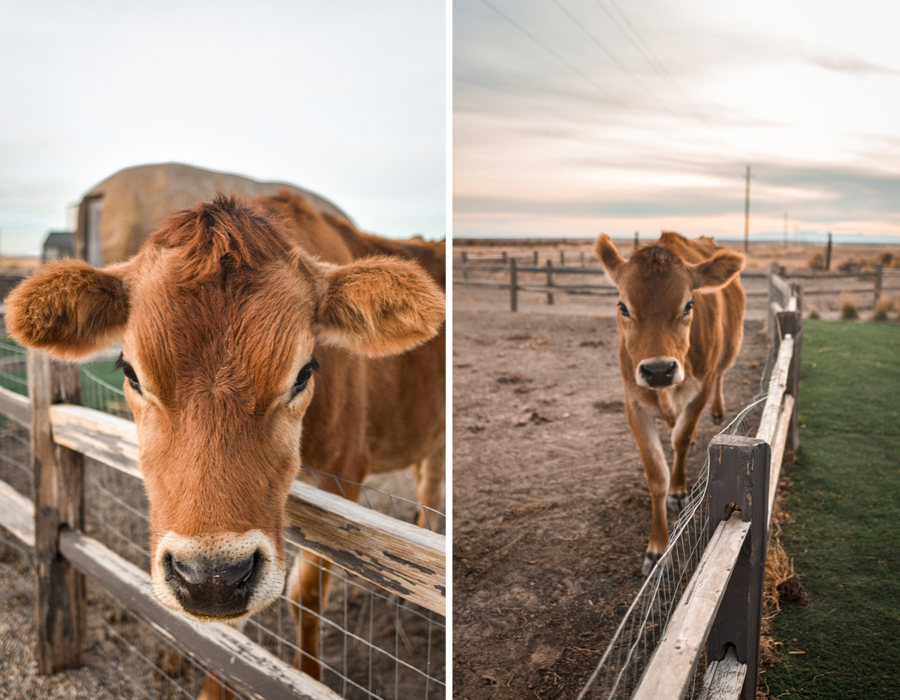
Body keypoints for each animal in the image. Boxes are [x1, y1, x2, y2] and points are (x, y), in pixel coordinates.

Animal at [3, 191, 444, 684]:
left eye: (303, 373)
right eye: (131, 373)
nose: (210, 579)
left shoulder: (345, 476)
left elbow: (306, 596)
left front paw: (307, 674)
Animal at [592, 234, 744, 576]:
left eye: (689, 304)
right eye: (623, 306)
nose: (659, 370)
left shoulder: (700, 389)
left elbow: (682, 440)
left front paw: (678, 489)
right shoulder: (633, 403)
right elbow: (656, 475)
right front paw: (657, 548)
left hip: (729, 352)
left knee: (721, 376)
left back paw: (717, 411)